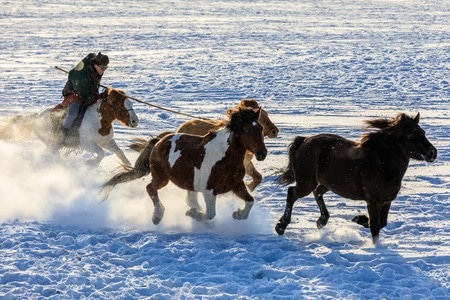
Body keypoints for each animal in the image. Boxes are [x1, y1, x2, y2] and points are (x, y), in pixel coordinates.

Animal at [0, 86, 138, 166]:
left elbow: (119, 152)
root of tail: (37, 117)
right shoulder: (86, 144)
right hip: (52, 144)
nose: (135, 121)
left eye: (130, 102)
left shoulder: (107, 142)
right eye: (119, 104)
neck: (98, 122)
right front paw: (91, 164)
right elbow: (101, 153)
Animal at [101, 107, 268, 223]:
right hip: (162, 178)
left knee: (187, 198)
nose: (262, 153)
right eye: (245, 129)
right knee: (150, 188)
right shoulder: (209, 190)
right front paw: (192, 214)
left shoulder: (236, 184)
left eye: (260, 128)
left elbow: (250, 202)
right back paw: (157, 216)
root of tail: (159, 141)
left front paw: (238, 214)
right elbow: (210, 214)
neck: (225, 158)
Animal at [129, 99, 278, 191]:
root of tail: (178, 130)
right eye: (262, 118)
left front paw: (249, 186)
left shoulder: (246, 163)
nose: (274, 131)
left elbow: (258, 177)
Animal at [274, 113, 436, 243]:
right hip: (306, 182)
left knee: (317, 192)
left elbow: (382, 223)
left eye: (423, 132)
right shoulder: (373, 201)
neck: (382, 165)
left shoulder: (386, 201)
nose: (432, 153)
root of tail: (304, 140)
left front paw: (360, 219)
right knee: (292, 193)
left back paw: (322, 220)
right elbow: (375, 228)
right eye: (410, 136)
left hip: (328, 183)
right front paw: (376, 246)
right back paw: (281, 226)